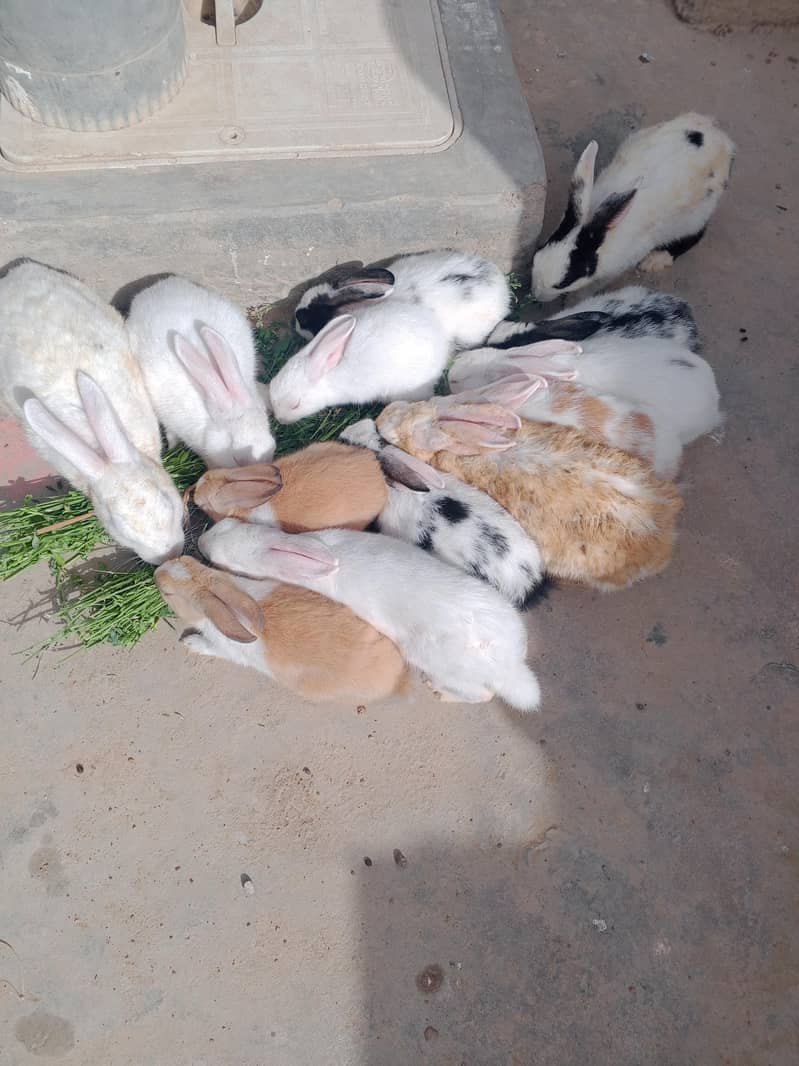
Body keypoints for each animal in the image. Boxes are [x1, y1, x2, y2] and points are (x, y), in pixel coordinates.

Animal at [155, 556, 408, 703]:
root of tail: (396, 676)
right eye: (186, 558)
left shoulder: (225, 649)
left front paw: (190, 643)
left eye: (167, 593)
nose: (157, 572)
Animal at [199, 520, 542, 712]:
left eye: (225, 563)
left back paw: (440, 692)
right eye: (226, 524)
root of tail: (511, 666)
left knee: (483, 694)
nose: (201, 542)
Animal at [531, 113, 735, 302]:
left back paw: (655, 260)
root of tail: (719, 136)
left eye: (563, 282)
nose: (536, 295)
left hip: (695, 215)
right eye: (536, 256)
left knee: (696, 235)